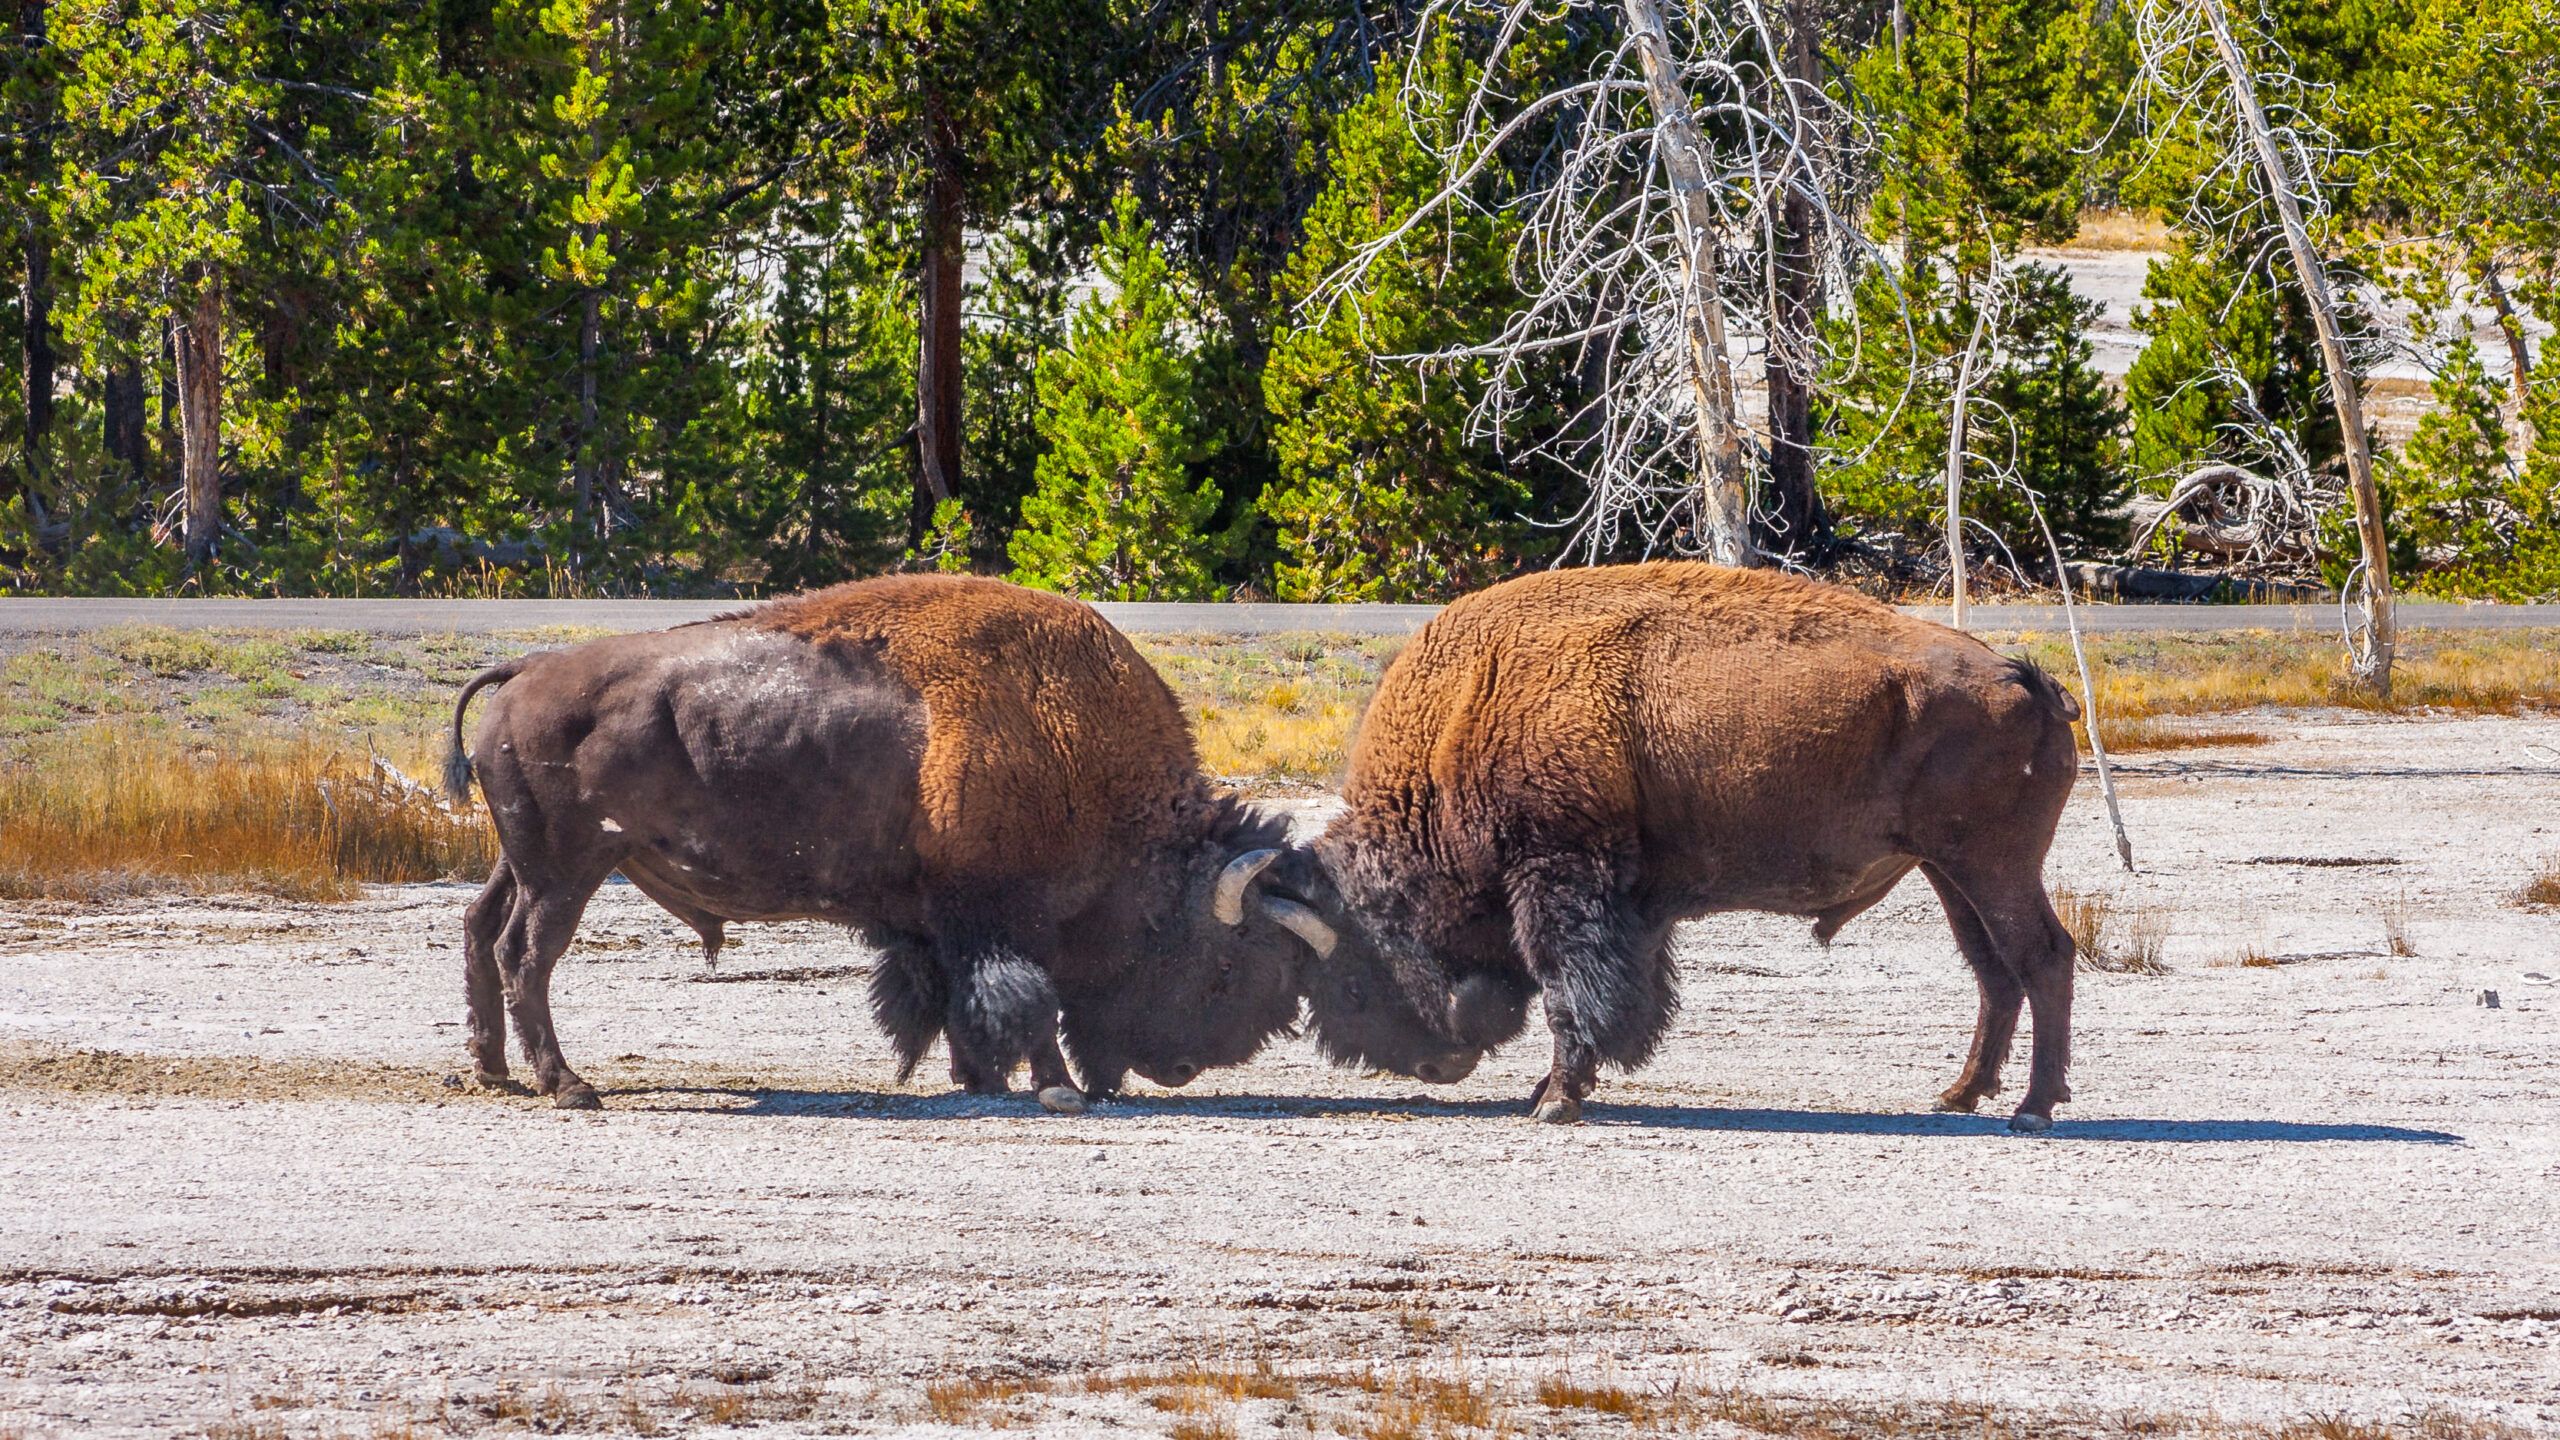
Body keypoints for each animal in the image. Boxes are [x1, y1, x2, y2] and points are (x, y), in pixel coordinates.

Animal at [440, 573, 1361, 1112]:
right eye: (1223, 965)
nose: (1179, 1069)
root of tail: (522, 672)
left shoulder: (938, 922)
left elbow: (956, 1001)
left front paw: (976, 1078)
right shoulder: (999, 921)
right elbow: (1024, 1003)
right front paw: (1053, 1090)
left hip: (521, 861)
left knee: (480, 930)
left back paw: (492, 1071)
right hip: (569, 869)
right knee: (528, 953)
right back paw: (569, 1086)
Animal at [1274, 561, 2078, 1132]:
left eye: (1357, 976)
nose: (1436, 1065)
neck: (1473, 703)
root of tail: (2028, 682)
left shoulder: (1561, 877)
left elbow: (1572, 989)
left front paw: (1555, 1100)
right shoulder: (1634, 904)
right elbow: (1626, 993)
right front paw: (1560, 1087)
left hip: (1994, 865)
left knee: (2041, 957)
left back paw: (2031, 1108)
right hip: (1950, 870)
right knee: (1993, 971)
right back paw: (1959, 1094)